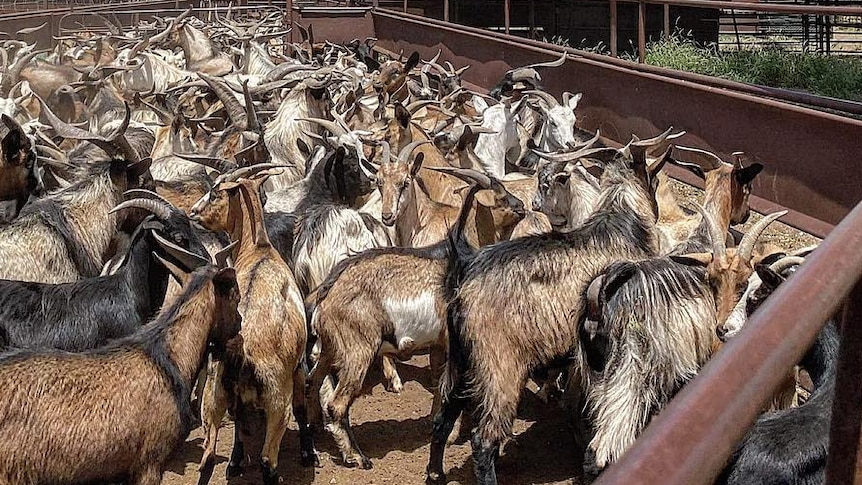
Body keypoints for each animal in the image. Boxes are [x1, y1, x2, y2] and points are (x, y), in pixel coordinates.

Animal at [189, 171, 318, 484]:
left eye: (215, 193)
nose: (193, 212)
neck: (260, 249)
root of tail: (239, 353)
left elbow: (240, 428)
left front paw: (235, 462)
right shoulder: (297, 367)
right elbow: (301, 407)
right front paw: (308, 454)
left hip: (212, 399)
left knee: (207, 458)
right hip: (276, 403)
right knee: (267, 461)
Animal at [428, 129, 680, 484]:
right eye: (653, 178)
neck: (622, 223)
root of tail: (463, 268)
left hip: (460, 358)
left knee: (443, 417)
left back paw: (435, 473)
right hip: (499, 366)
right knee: (484, 439)